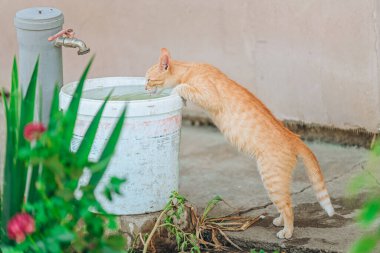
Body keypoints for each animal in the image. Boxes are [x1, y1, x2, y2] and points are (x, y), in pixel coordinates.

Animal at [145, 48, 336, 239]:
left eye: (148, 79)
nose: (144, 88)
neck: (190, 69)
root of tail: (293, 136)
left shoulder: (209, 96)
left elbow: (181, 87)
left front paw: (176, 92)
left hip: (272, 179)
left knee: (288, 207)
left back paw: (287, 232)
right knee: (286, 202)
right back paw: (280, 222)